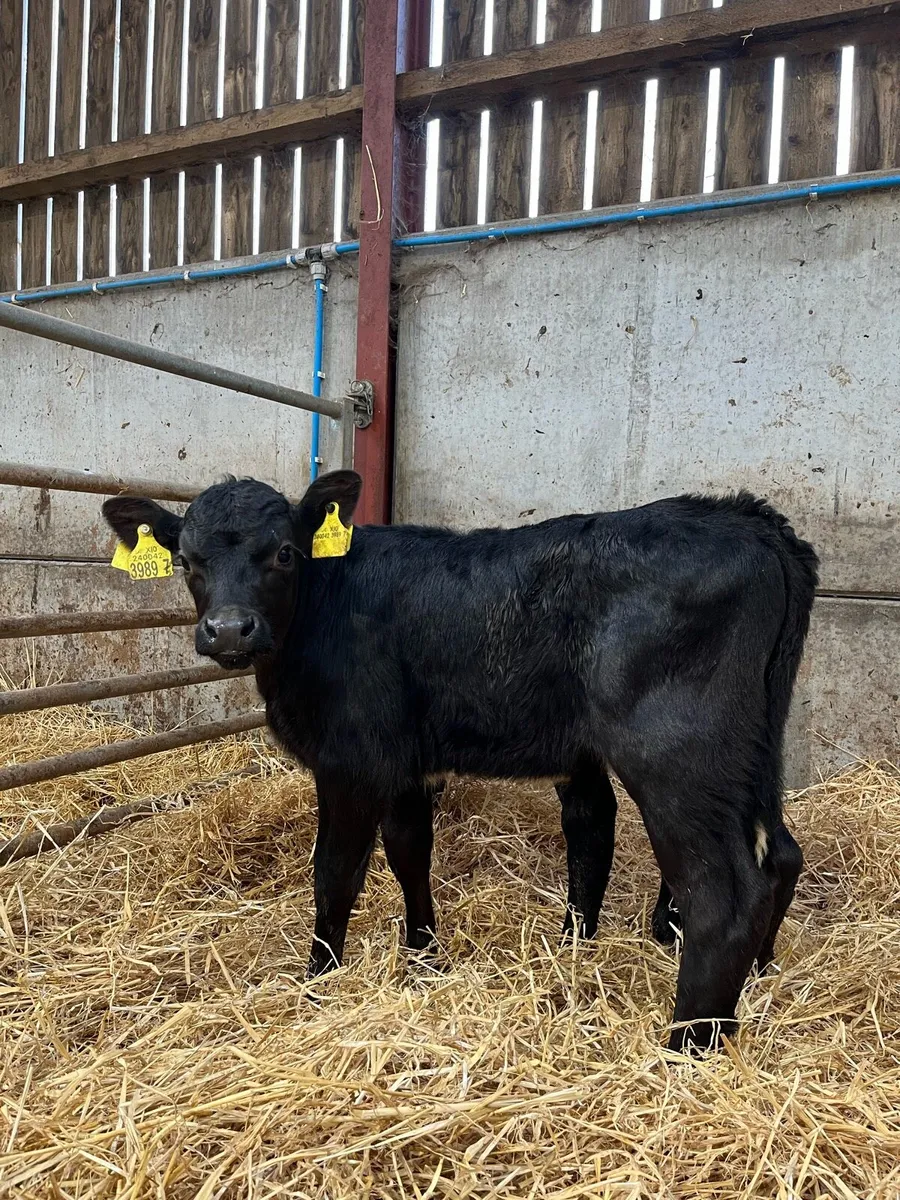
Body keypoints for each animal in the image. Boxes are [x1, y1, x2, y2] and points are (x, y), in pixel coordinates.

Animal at [103, 472, 818, 1052]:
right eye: (186, 559)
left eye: (283, 552)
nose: (228, 629)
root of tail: (747, 517)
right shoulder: (406, 761)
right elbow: (408, 851)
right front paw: (423, 955)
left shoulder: (351, 759)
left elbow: (336, 872)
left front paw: (319, 979)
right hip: (755, 747)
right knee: (782, 853)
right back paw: (756, 977)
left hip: (678, 753)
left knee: (725, 892)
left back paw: (686, 1047)